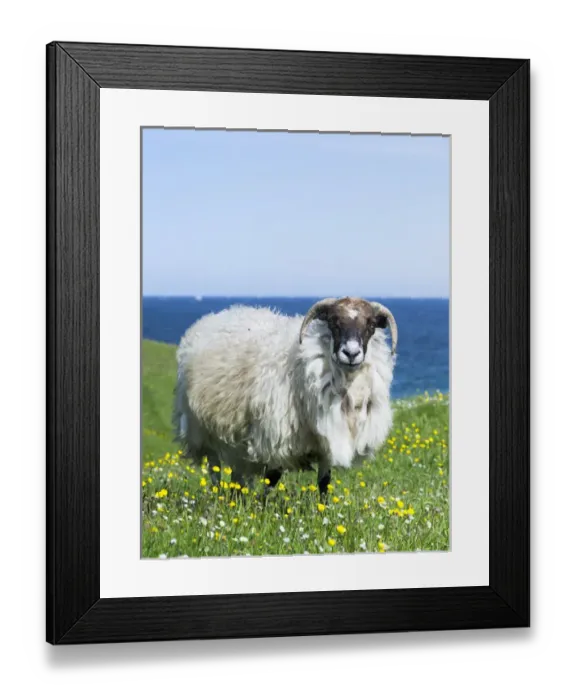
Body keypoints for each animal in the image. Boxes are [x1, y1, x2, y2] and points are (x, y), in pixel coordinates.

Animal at [172, 296, 398, 495]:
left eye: (371, 325)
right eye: (334, 321)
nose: (351, 353)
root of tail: (219, 314)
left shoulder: (325, 443)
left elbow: (324, 482)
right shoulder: (276, 435)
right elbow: (272, 479)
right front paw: (262, 508)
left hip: (236, 437)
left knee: (237, 471)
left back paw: (237, 496)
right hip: (201, 429)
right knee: (214, 469)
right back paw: (218, 495)